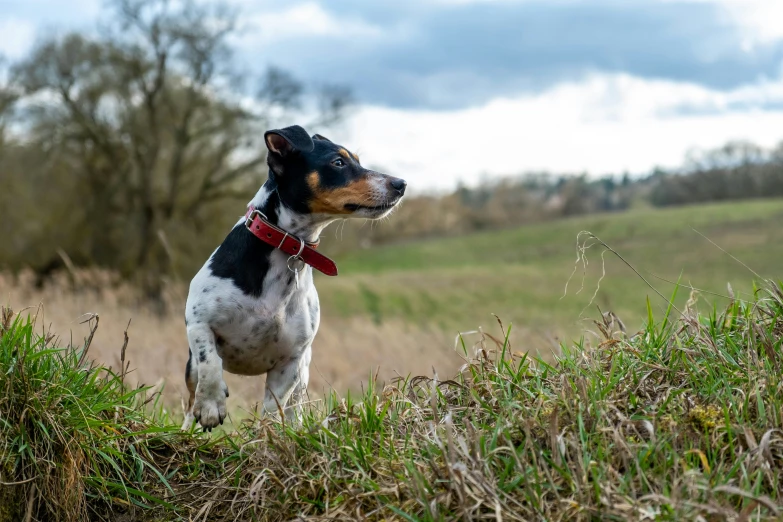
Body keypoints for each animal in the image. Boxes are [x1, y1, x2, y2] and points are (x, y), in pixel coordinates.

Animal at [181, 124, 408, 428]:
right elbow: (210, 363)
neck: (289, 244)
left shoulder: (290, 362)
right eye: (338, 162)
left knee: (293, 406)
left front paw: (266, 434)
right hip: (191, 367)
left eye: (357, 161)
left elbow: (273, 406)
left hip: (303, 373)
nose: (401, 184)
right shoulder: (199, 322)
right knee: (192, 395)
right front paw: (210, 405)